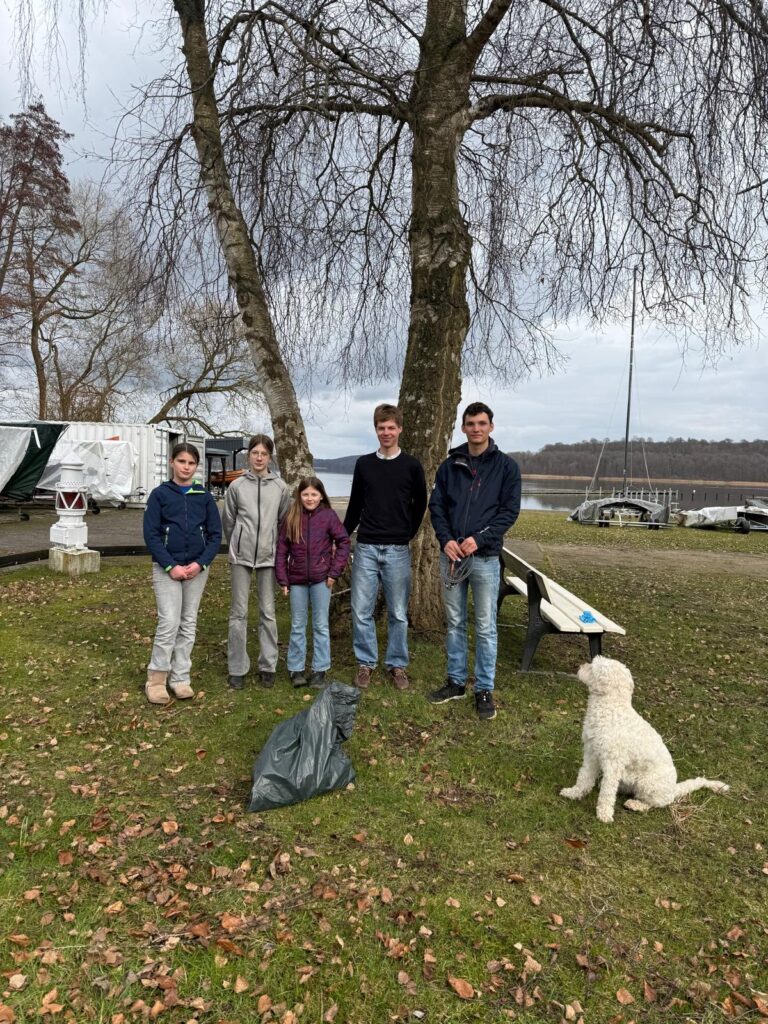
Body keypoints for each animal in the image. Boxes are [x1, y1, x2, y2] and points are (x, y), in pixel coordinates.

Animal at [560, 656, 729, 823]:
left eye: (593, 666)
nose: (580, 666)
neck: (611, 707)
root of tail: (674, 789)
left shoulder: (613, 764)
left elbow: (607, 793)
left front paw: (604, 814)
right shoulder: (591, 754)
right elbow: (584, 777)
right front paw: (574, 793)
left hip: (648, 784)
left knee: (657, 803)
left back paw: (636, 804)